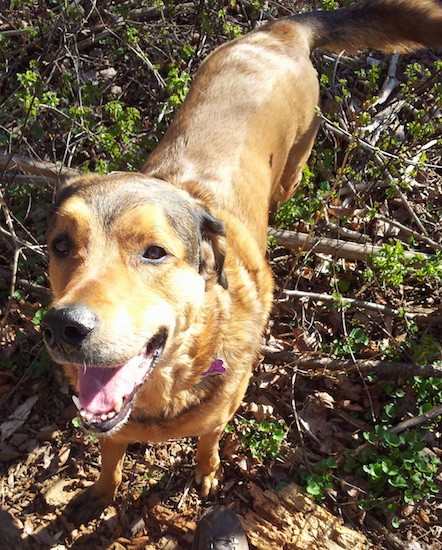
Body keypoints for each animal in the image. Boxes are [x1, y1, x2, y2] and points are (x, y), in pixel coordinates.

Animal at [42, 0, 442, 528]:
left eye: (154, 252)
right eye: (61, 245)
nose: (62, 326)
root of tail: (281, 30)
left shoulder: (220, 412)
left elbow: (208, 444)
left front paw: (205, 473)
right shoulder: (112, 425)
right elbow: (110, 457)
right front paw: (102, 493)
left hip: (296, 161)